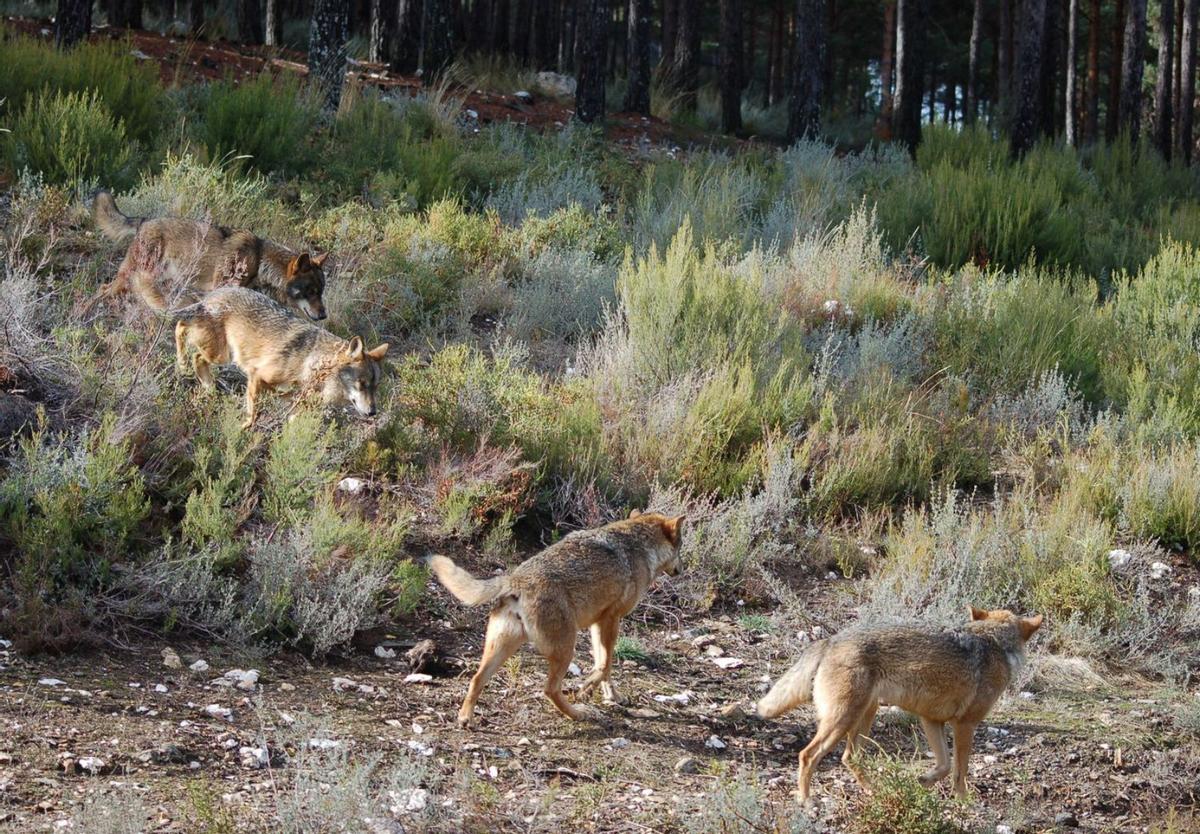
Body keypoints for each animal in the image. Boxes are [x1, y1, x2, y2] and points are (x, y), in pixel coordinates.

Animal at [92, 190, 329, 321]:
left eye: (321, 292)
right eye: (311, 291)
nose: (323, 315)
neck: (259, 261)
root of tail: (144, 220)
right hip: (134, 276)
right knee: (103, 290)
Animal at [173, 287, 388, 428]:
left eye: (375, 386)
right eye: (361, 384)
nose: (373, 412)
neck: (312, 366)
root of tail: (213, 294)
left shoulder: (293, 407)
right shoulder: (257, 376)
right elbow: (253, 414)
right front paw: (243, 429)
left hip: (220, 355)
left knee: (195, 354)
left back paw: (208, 388)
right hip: (219, 354)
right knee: (181, 329)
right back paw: (183, 365)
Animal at [428, 511, 685, 726]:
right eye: (681, 550)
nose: (681, 570)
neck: (641, 547)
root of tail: (514, 580)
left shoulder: (597, 624)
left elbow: (603, 666)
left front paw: (610, 695)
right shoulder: (611, 620)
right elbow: (605, 665)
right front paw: (587, 688)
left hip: (502, 649)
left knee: (476, 679)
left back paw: (465, 718)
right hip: (566, 649)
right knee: (549, 689)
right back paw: (578, 714)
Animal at [756, 607, 1043, 802]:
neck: (995, 643)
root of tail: (831, 640)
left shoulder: (931, 720)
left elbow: (944, 766)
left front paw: (923, 782)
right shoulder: (965, 724)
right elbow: (959, 772)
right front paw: (964, 802)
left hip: (863, 717)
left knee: (850, 758)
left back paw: (874, 791)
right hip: (843, 721)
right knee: (808, 755)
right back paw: (806, 801)